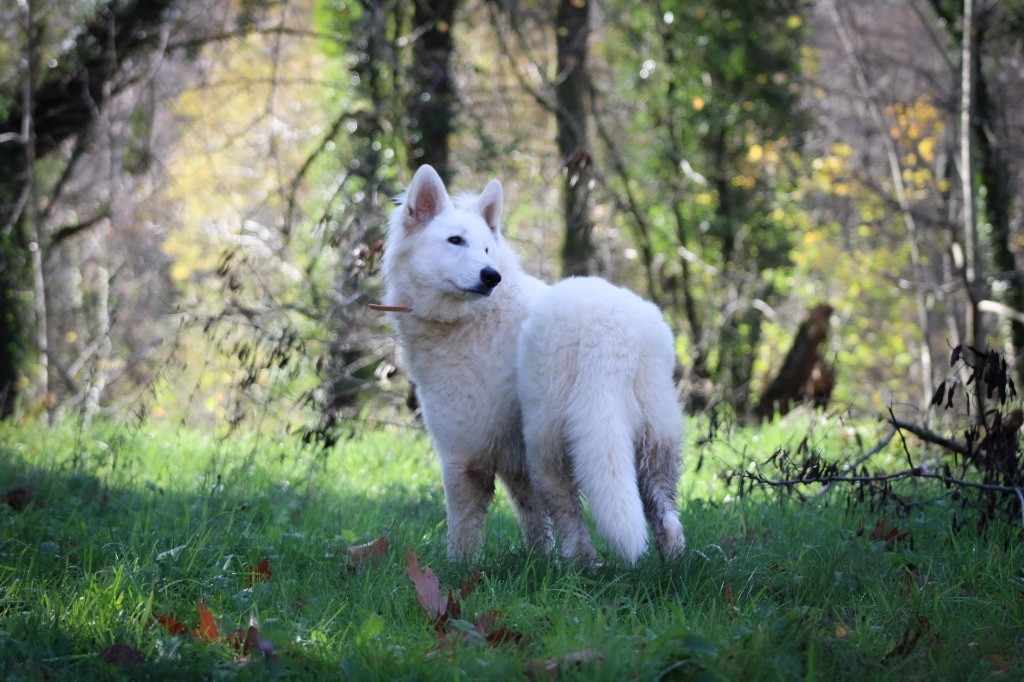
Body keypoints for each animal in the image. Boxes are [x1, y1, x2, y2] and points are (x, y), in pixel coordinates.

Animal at [381, 164, 684, 564]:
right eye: (455, 241)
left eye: (486, 249)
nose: (490, 275)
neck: (475, 317)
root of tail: (611, 334)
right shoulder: (515, 463)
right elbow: (533, 520)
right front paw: (538, 560)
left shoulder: (464, 454)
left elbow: (463, 527)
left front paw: (459, 567)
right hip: (655, 442)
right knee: (667, 519)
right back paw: (670, 566)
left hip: (549, 444)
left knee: (573, 520)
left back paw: (581, 566)